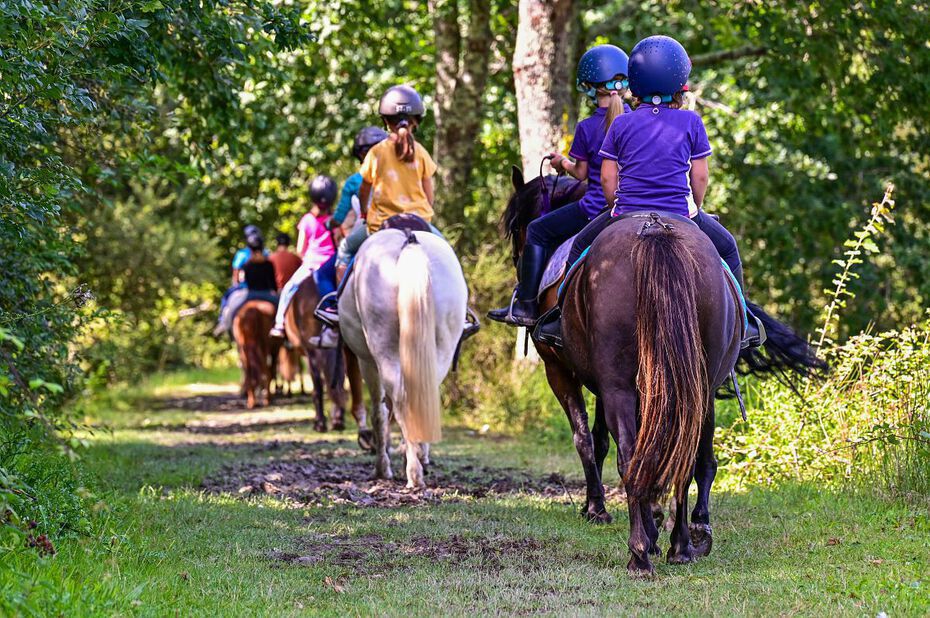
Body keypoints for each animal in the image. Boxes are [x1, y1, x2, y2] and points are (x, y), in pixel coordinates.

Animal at [338, 226, 468, 486]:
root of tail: (409, 239)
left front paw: (382, 467)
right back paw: (418, 459)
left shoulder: (366, 362)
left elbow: (380, 413)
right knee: (422, 392)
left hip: (383, 347)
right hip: (441, 346)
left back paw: (412, 472)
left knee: (399, 399)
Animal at [504, 167, 824, 572]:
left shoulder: (560, 370)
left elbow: (587, 439)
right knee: (688, 456)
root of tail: (655, 228)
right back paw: (684, 542)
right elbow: (618, 442)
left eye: (517, 227)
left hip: (619, 384)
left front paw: (598, 509)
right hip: (692, 383)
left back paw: (642, 550)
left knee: (632, 454)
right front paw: (653, 517)